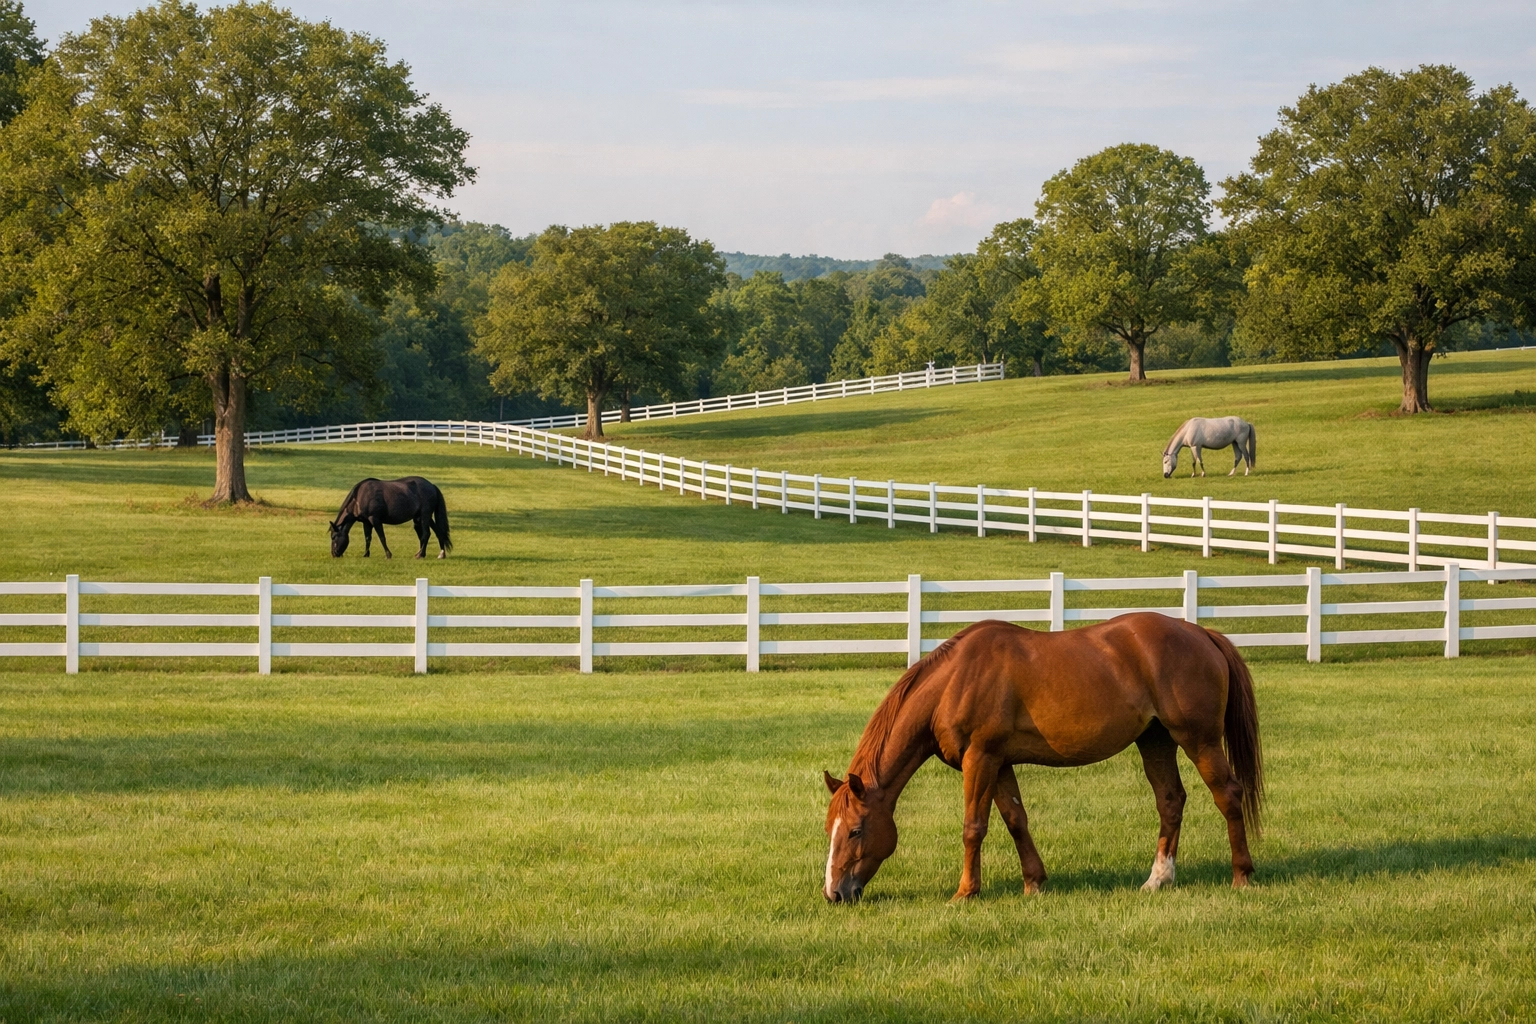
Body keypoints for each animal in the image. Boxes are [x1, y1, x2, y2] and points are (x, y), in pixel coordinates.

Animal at [822, 615, 1262, 904]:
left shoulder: (980, 759)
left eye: (856, 830)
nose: (834, 893)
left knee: (1228, 794)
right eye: (831, 829)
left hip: (1199, 740)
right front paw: (1034, 882)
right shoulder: (999, 763)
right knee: (1170, 801)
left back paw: (1241, 875)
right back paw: (1158, 879)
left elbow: (973, 827)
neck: (954, 681)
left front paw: (965, 892)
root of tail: (1202, 633)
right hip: (1155, 742)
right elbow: (1016, 820)